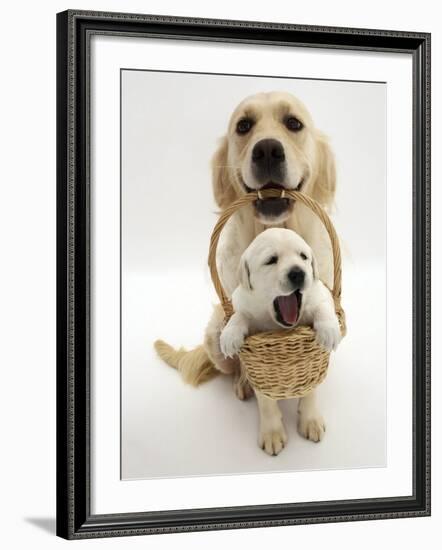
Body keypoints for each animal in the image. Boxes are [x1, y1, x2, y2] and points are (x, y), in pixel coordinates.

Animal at [155, 92, 334, 448]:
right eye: (244, 126)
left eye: (293, 123)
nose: (267, 150)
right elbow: (262, 389)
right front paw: (272, 431)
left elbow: (311, 385)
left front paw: (309, 419)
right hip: (214, 336)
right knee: (236, 366)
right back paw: (243, 383)